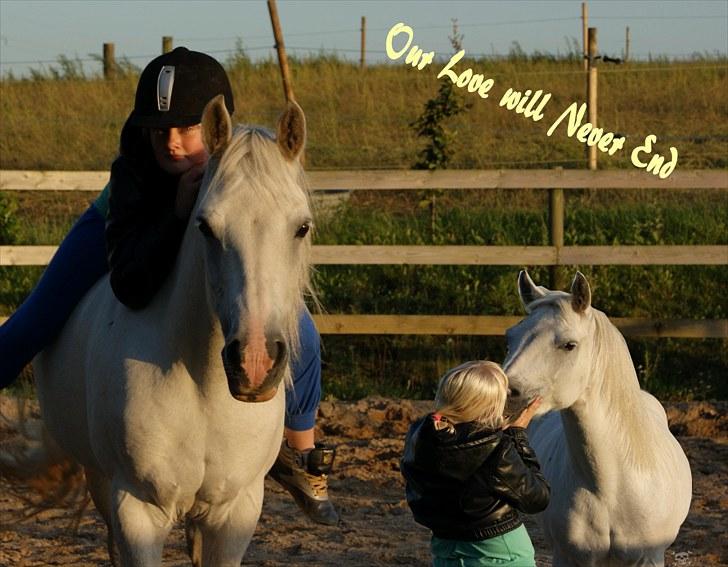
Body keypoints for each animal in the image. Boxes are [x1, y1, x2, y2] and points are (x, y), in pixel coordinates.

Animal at [29, 95, 312, 564]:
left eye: (301, 227)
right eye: (205, 226)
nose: (254, 363)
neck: (204, 390)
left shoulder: (236, 513)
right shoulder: (137, 511)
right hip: (100, 481)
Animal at [504, 270, 692, 567]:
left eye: (569, 345)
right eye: (510, 338)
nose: (503, 395)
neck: (611, 490)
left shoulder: (649, 558)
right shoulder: (568, 557)